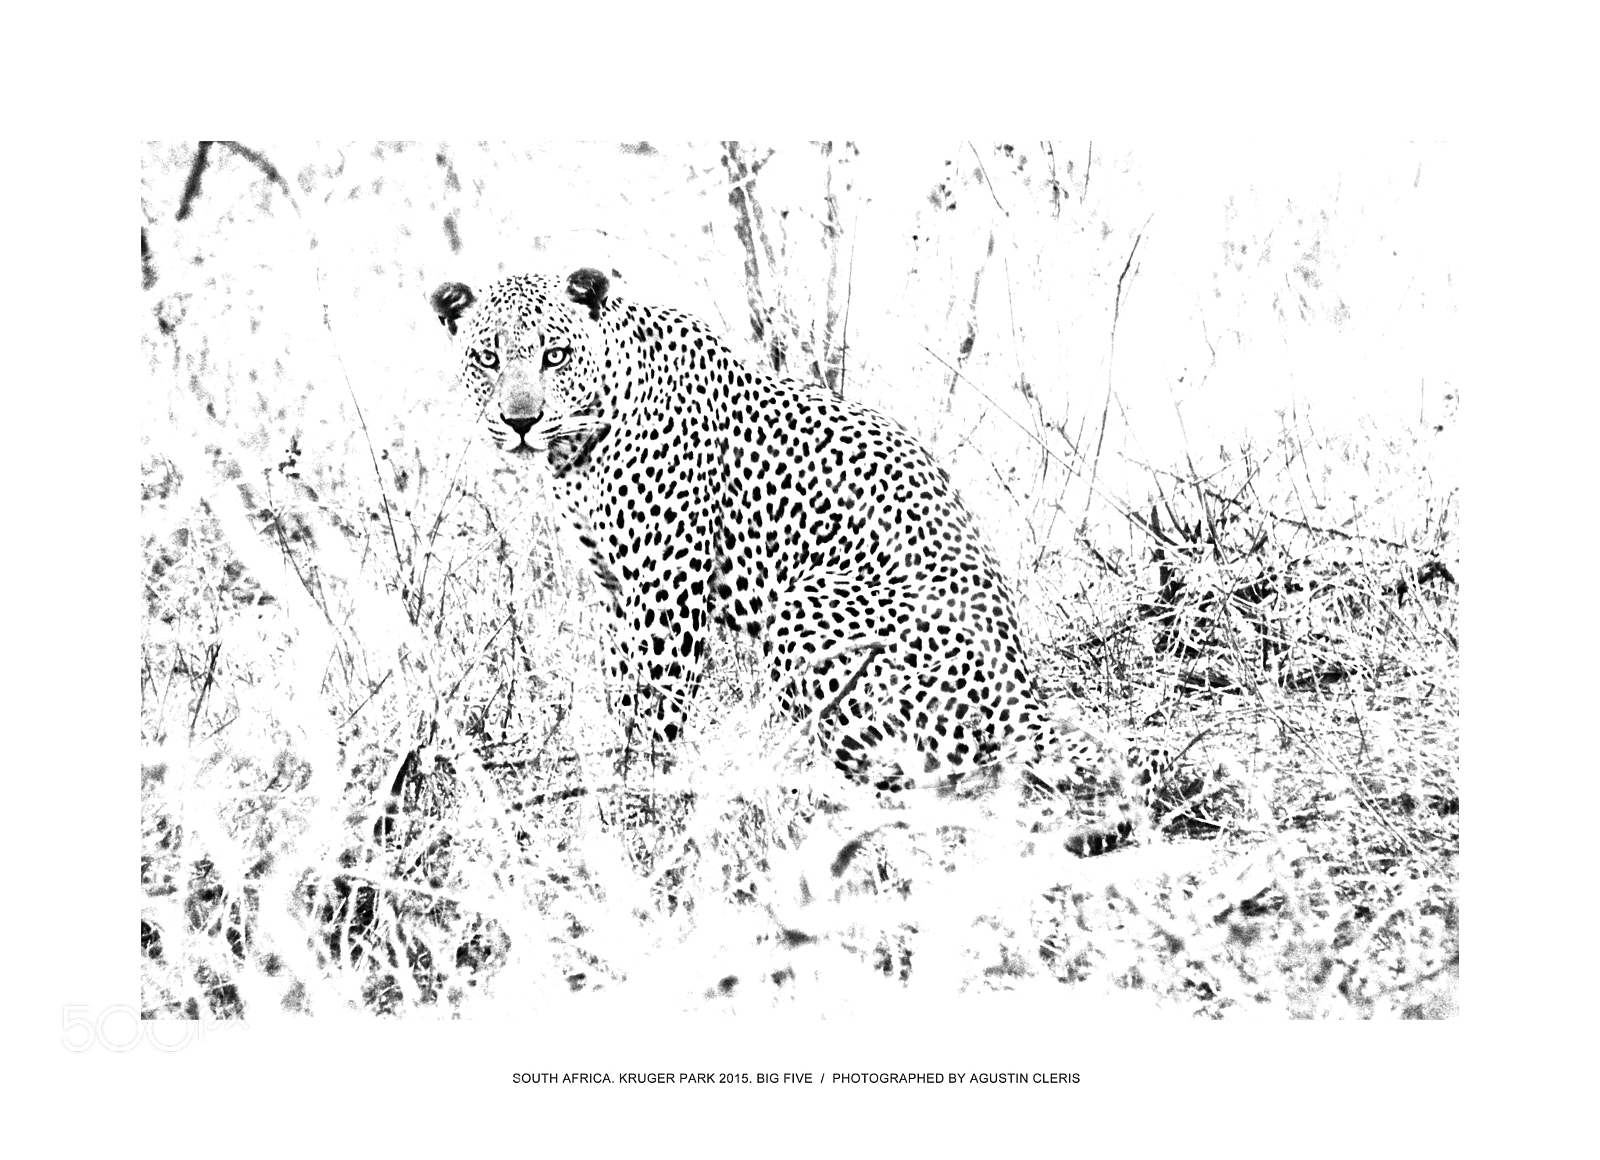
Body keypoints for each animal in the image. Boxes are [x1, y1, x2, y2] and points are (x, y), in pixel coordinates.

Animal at [429, 267, 1154, 855]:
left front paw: (643, 799)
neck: (582, 443)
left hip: (805, 611)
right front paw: (616, 774)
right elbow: (622, 694)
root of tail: (1024, 692)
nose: (520, 420)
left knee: (929, 774)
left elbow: (656, 708)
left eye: (554, 355)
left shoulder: (667, 588)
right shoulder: (617, 591)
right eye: (487, 357)